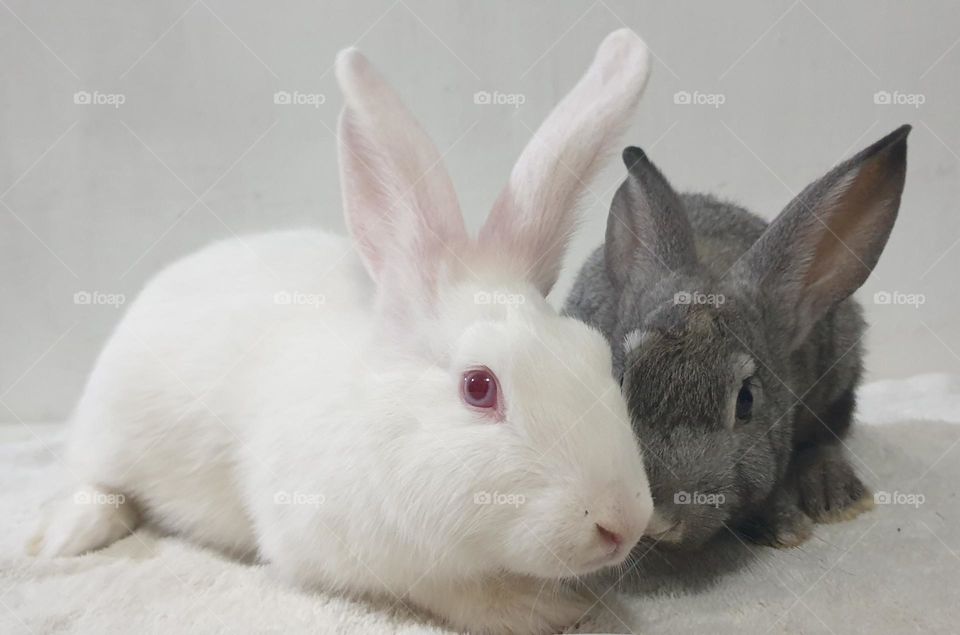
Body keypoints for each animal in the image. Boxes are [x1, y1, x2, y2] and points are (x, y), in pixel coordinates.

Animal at [28, 29, 656, 635]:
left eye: (595, 355)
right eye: (479, 387)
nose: (622, 523)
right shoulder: (335, 545)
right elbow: (448, 589)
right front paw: (537, 610)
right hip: (110, 427)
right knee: (94, 479)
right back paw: (65, 538)